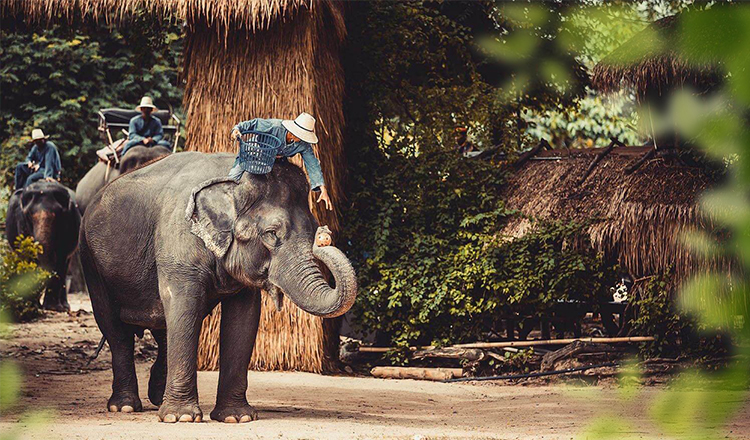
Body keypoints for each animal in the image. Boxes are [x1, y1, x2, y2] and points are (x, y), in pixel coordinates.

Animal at [5, 180, 81, 311]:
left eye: (58, 215)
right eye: (29, 215)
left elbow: (60, 258)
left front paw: (52, 308)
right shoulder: (21, 222)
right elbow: (30, 256)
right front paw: (33, 305)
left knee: (65, 265)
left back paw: (64, 307)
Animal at [79, 152, 357, 423]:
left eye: (313, 229)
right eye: (271, 233)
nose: (324, 236)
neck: (231, 180)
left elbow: (243, 319)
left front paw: (237, 417)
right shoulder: (178, 244)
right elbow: (184, 307)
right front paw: (180, 418)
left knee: (163, 328)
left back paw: (157, 398)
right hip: (91, 262)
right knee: (115, 330)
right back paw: (124, 407)